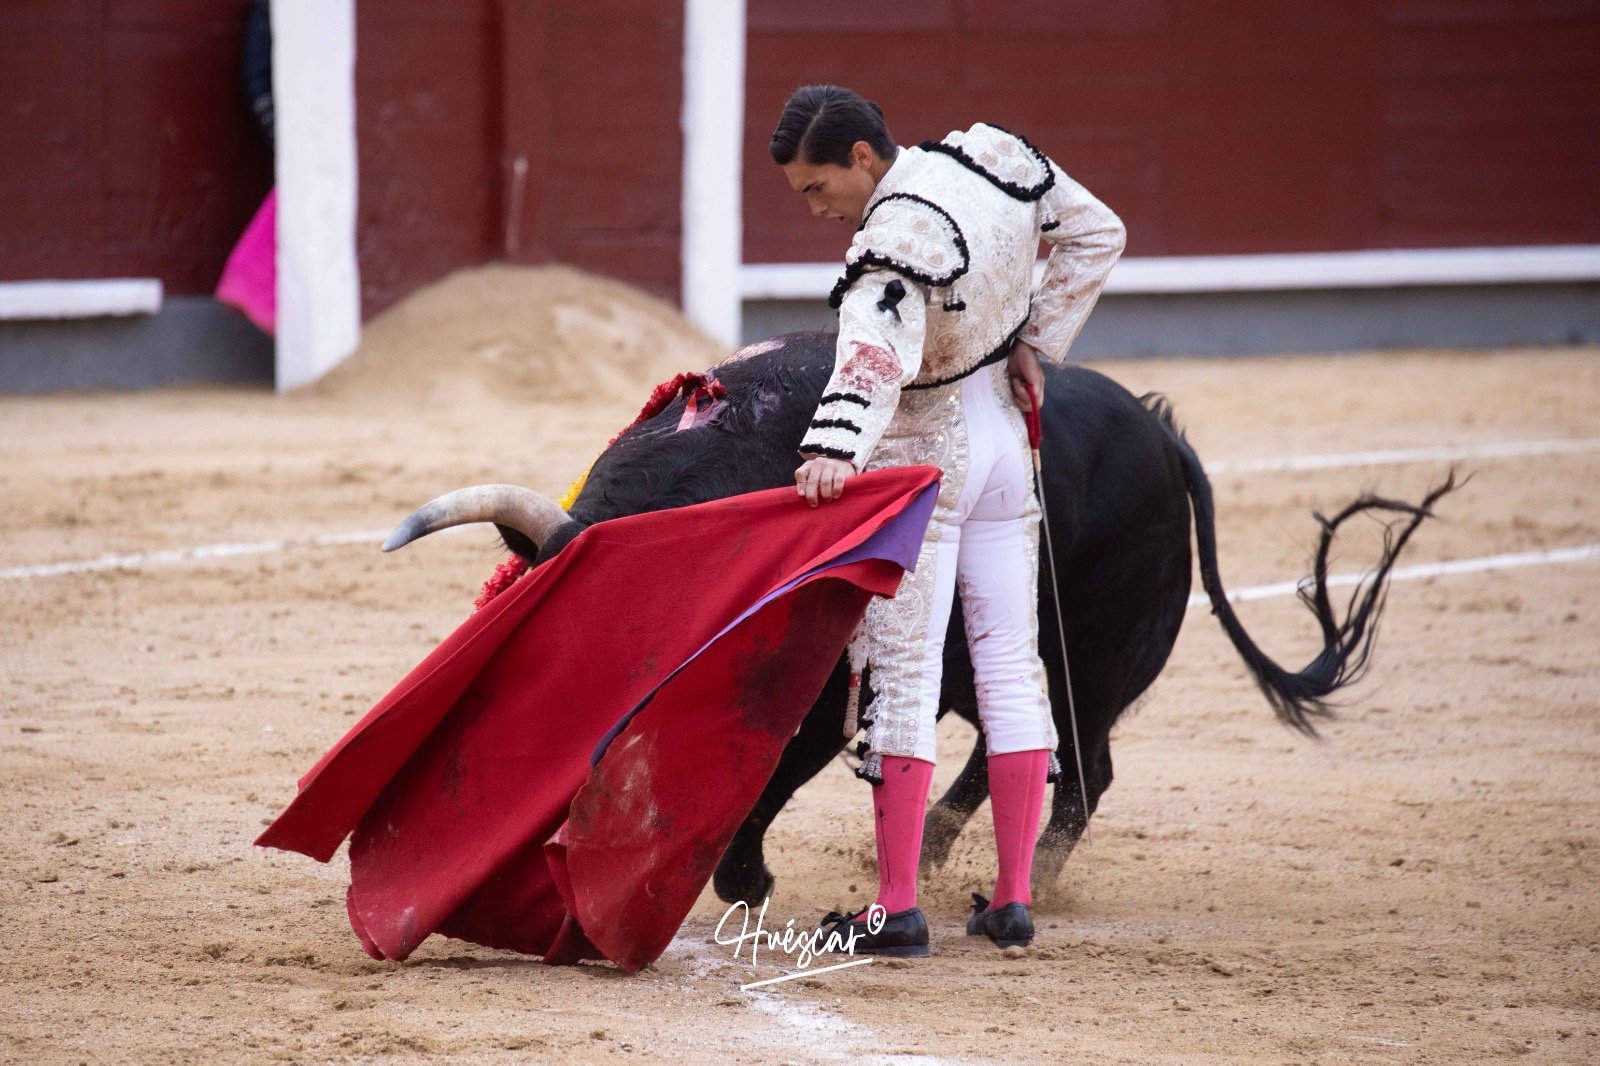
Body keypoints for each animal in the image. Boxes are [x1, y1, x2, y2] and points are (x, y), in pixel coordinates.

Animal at [387, 331, 1456, 907]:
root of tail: (1163, 436)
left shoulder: (819, 691)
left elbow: (765, 777)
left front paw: (741, 881)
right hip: (994, 663)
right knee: (1009, 748)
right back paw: (928, 847)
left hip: (1091, 667)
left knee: (1084, 768)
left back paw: (1031, 882)